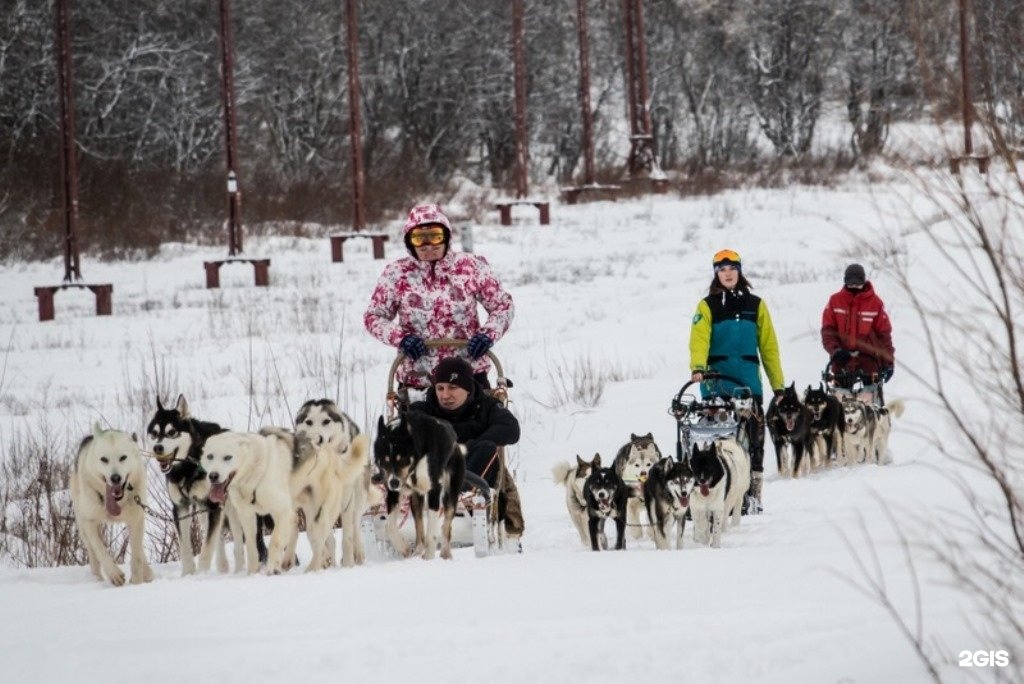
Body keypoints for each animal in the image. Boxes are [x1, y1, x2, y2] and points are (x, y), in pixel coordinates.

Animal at [71, 423, 153, 585]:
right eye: (104, 459)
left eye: (123, 458)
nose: (115, 478)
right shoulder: (89, 522)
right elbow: (100, 550)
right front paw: (114, 574)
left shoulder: (137, 519)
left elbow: (137, 556)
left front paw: (137, 583)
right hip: (82, 527)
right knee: (93, 554)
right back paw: (96, 579)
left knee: (138, 548)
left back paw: (147, 574)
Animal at [200, 432, 294, 573]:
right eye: (210, 456)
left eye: (228, 457)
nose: (213, 476)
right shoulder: (247, 515)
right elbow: (251, 546)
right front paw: (252, 573)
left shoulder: (282, 512)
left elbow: (275, 541)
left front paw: (272, 569)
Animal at [290, 397, 374, 569]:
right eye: (309, 422)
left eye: (326, 421)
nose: (317, 438)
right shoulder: (315, 502)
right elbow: (324, 538)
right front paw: (326, 560)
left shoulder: (346, 499)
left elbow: (347, 538)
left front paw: (348, 564)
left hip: (359, 495)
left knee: (355, 523)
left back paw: (357, 554)